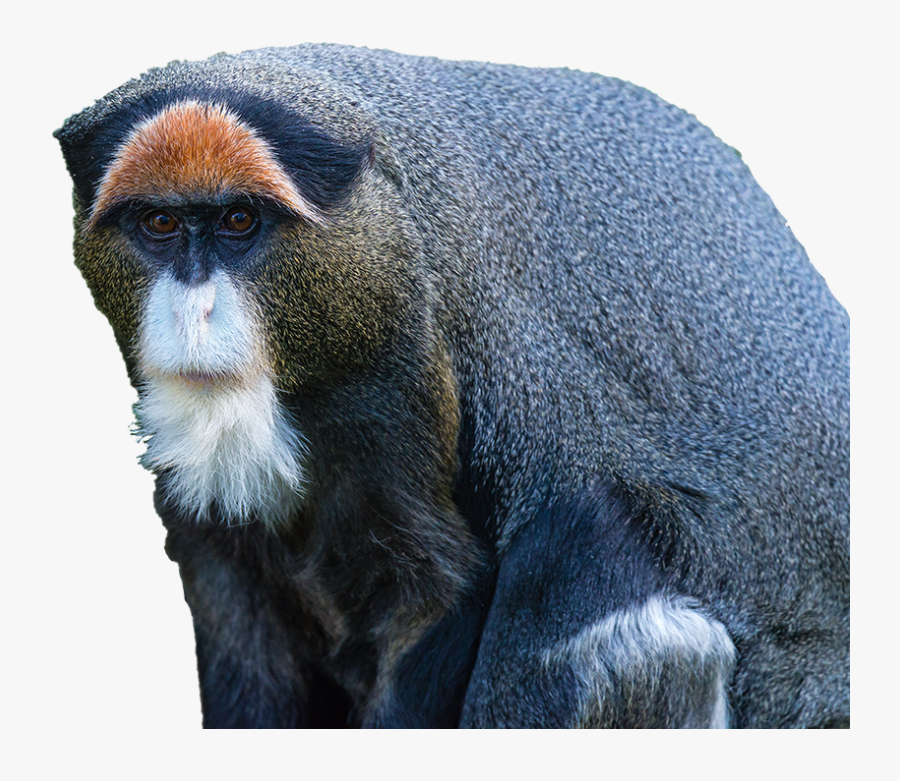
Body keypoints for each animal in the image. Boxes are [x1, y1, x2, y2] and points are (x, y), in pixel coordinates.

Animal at [55, 44, 849, 728]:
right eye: (160, 222)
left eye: (239, 219)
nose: (193, 312)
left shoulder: (409, 362)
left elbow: (439, 589)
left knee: (591, 540)